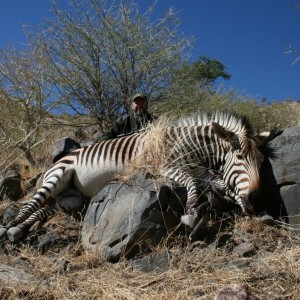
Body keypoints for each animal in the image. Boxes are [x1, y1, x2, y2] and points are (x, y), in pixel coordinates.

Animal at [0, 111, 274, 243]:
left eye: (261, 163)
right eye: (239, 158)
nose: (256, 198)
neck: (194, 148)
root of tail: (57, 161)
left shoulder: (203, 172)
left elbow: (220, 185)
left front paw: (239, 205)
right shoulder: (164, 167)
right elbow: (191, 183)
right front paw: (191, 212)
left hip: (72, 199)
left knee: (41, 211)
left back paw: (17, 231)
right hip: (57, 177)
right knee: (29, 205)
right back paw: (7, 228)